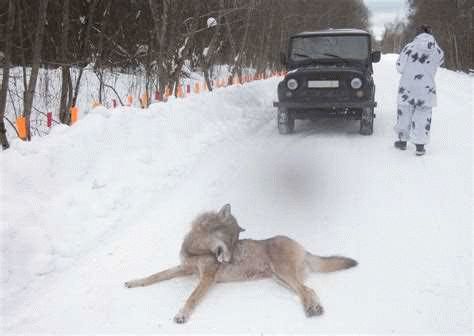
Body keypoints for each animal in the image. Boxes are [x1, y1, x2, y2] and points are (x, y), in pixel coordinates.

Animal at [124, 203, 358, 324]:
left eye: (235, 241)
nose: (230, 259)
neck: (196, 250)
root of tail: (303, 248)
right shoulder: (184, 269)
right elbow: (154, 276)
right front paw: (133, 282)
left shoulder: (206, 278)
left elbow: (191, 298)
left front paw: (181, 314)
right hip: (280, 279)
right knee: (308, 290)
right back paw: (313, 308)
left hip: (283, 275)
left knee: (308, 290)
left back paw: (312, 309)